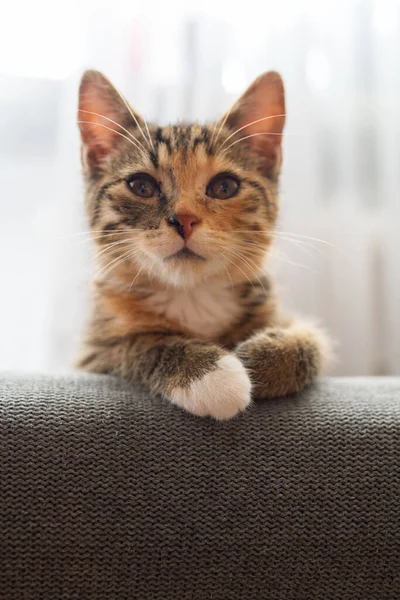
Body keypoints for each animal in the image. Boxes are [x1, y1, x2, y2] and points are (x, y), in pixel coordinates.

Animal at [76, 69, 330, 418]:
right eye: (141, 186)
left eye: (224, 187)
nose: (184, 220)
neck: (193, 293)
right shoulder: (92, 354)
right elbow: (140, 343)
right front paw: (212, 375)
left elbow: (311, 338)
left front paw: (259, 360)